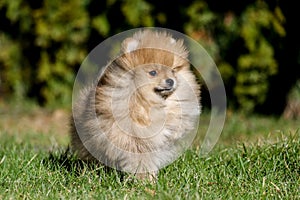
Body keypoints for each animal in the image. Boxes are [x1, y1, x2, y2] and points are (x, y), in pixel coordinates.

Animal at [70, 30, 202, 181]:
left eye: (173, 71)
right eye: (153, 73)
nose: (170, 80)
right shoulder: (136, 142)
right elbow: (142, 161)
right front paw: (146, 181)